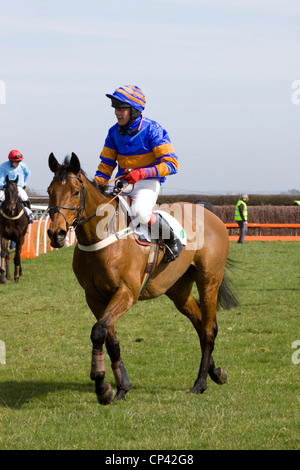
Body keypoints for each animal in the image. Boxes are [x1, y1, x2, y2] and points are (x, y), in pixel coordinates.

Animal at [47, 154, 239, 404]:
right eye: (50, 191)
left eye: (75, 191)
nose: (56, 234)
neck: (103, 236)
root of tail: (208, 213)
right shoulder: (94, 297)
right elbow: (110, 340)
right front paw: (120, 388)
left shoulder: (127, 292)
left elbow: (98, 332)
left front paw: (102, 387)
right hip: (178, 289)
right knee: (201, 324)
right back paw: (215, 372)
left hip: (209, 280)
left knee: (207, 329)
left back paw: (200, 383)